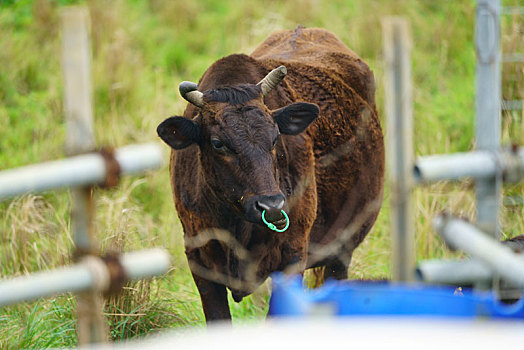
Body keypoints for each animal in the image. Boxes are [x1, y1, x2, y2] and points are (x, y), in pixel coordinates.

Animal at [157, 26, 384, 322]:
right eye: (218, 143)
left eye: (276, 137)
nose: (272, 205)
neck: (236, 225)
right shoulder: (200, 260)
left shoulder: (292, 257)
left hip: (341, 250)